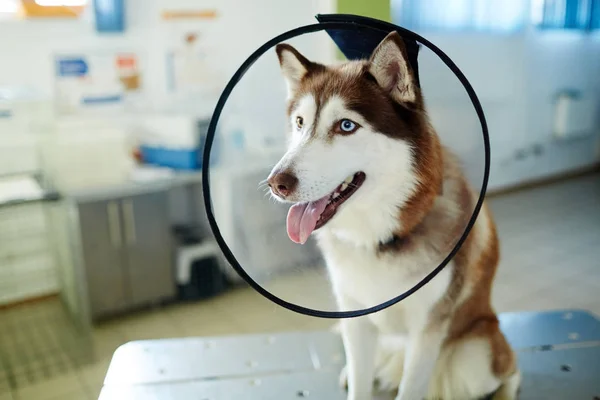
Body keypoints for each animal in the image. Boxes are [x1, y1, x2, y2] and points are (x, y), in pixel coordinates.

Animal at [268, 32, 520, 400]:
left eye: (346, 126)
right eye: (300, 123)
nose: (277, 183)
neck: (379, 238)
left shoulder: (426, 330)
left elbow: (410, 387)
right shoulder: (355, 319)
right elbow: (359, 383)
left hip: (477, 358)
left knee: (510, 370)